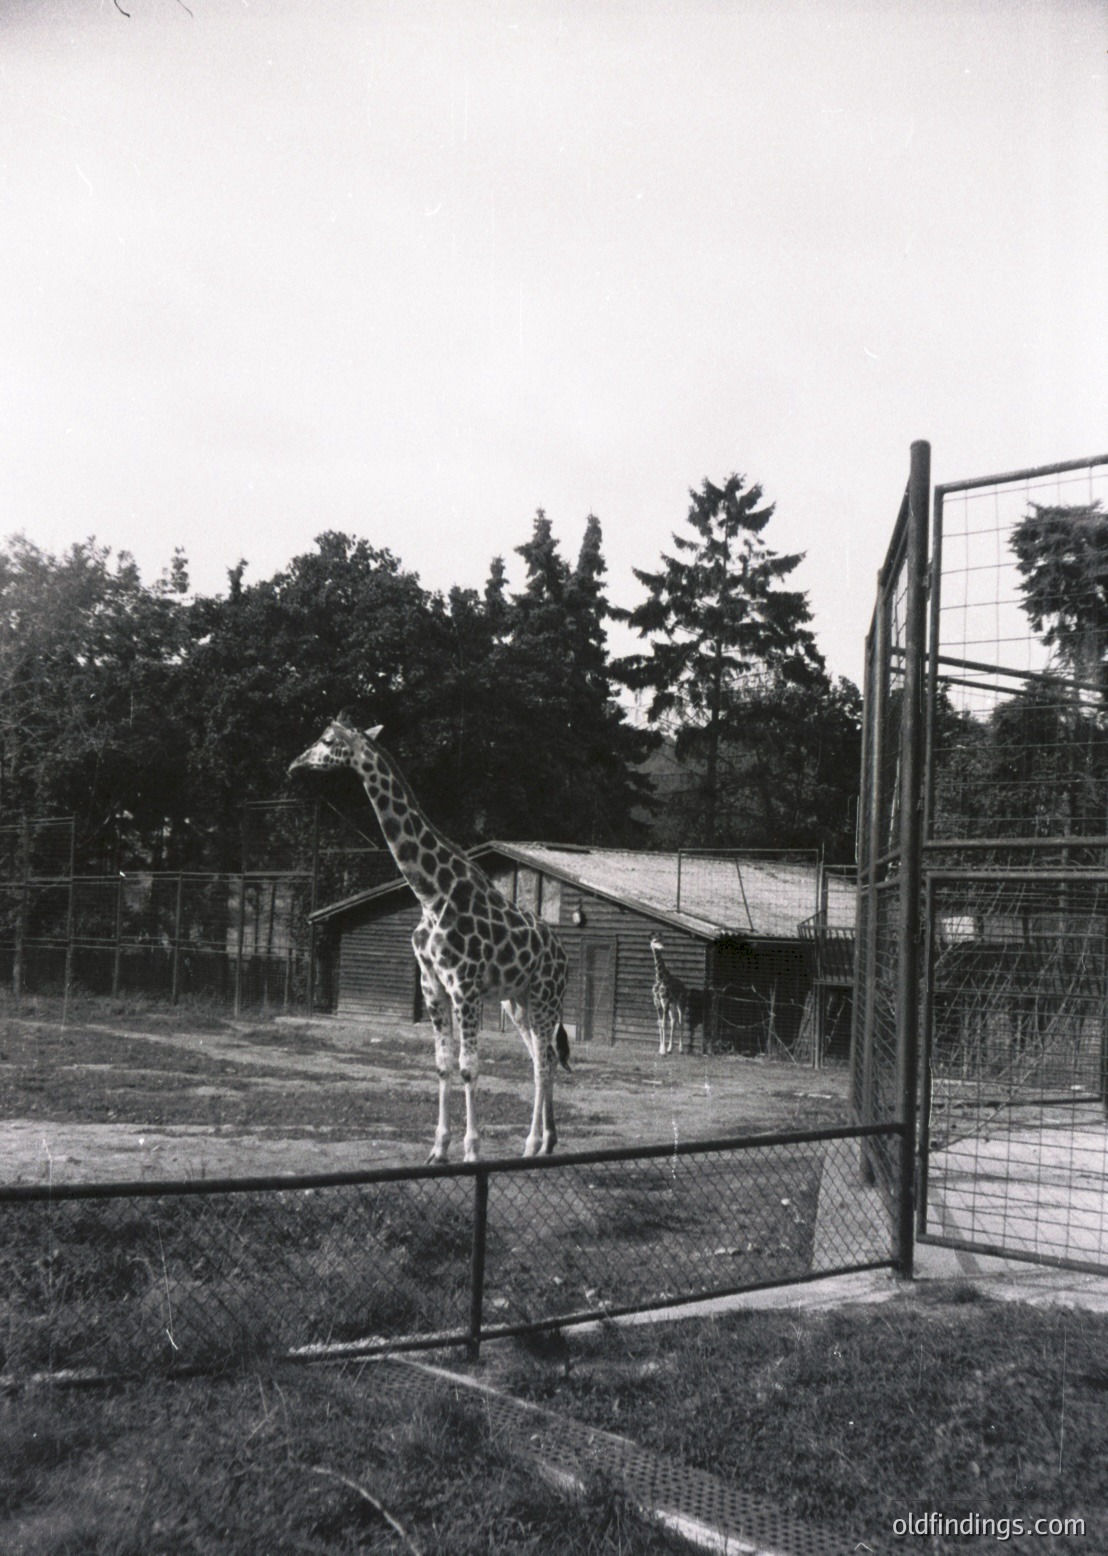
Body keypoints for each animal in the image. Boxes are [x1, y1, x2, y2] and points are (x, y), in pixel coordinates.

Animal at [289, 715, 571, 1163]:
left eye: (327, 740)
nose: (295, 765)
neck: (431, 894)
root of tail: (563, 955)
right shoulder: (433, 986)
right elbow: (442, 1065)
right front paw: (438, 1149)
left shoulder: (465, 988)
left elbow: (469, 1067)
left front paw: (472, 1152)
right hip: (518, 1002)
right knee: (539, 1060)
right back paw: (548, 1142)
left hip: (545, 996)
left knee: (543, 1064)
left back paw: (531, 1146)